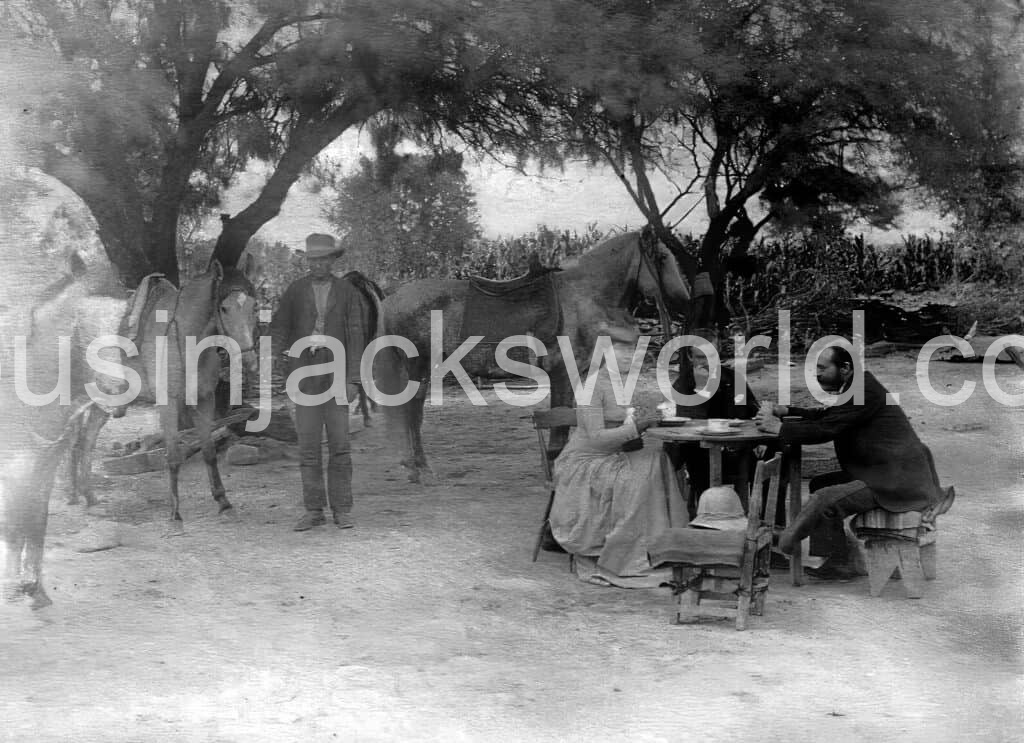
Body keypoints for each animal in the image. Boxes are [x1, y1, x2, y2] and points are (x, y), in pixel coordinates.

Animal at [372, 233, 692, 489]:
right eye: (663, 257)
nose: (685, 300)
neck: (582, 297)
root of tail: (391, 299)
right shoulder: (562, 374)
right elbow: (559, 427)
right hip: (417, 367)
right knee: (411, 414)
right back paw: (420, 470)